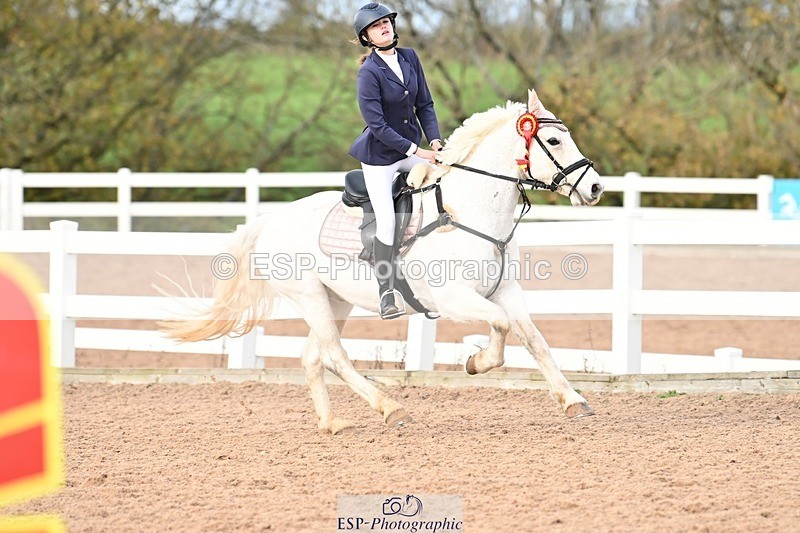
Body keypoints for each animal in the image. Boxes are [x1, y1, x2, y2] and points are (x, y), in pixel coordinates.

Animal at [162, 88, 605, 434]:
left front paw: (572, 400)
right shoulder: (453, 298)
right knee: (336, 357)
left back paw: (333, 423)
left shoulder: (506, 291)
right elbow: (500, 326)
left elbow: (535, 339)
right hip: (309, 297)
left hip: (334, 300)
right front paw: (475, 363)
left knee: (313, 358)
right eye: (553, 140)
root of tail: (271, 219)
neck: (468, 213)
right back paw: (391, 409)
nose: (596, 188)